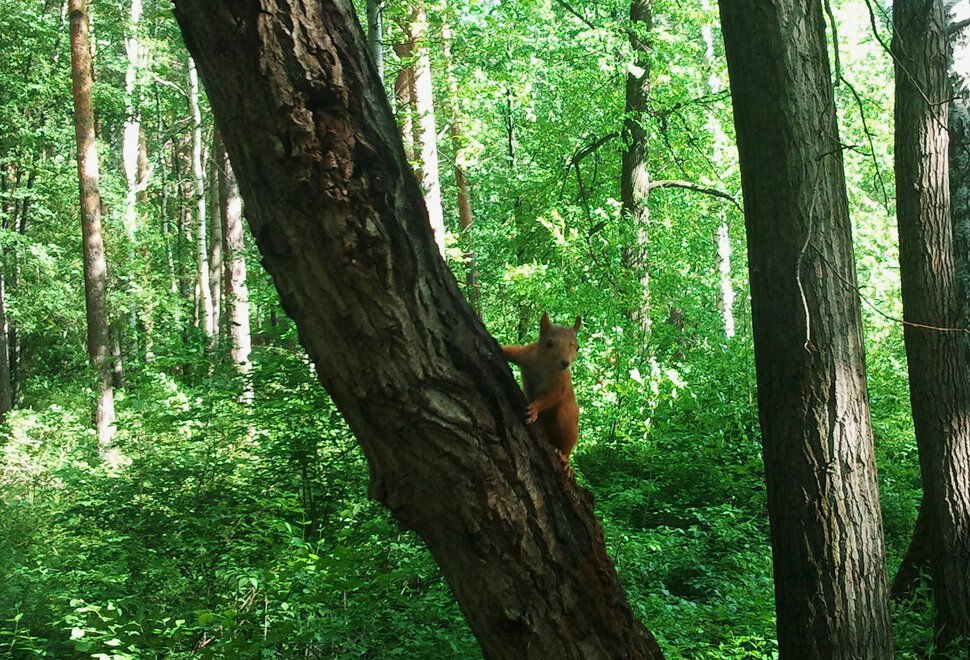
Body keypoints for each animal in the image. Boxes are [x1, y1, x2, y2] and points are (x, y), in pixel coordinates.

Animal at [502, 314, 580, 464]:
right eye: (548, 343)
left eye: (577, 347)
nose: (565, 363)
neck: (545, 364)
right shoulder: (526, 353)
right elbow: (510, 351)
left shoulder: (560, 381)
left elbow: (551, 396)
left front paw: (534, 408)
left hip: (568, 415)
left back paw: (564, 457)